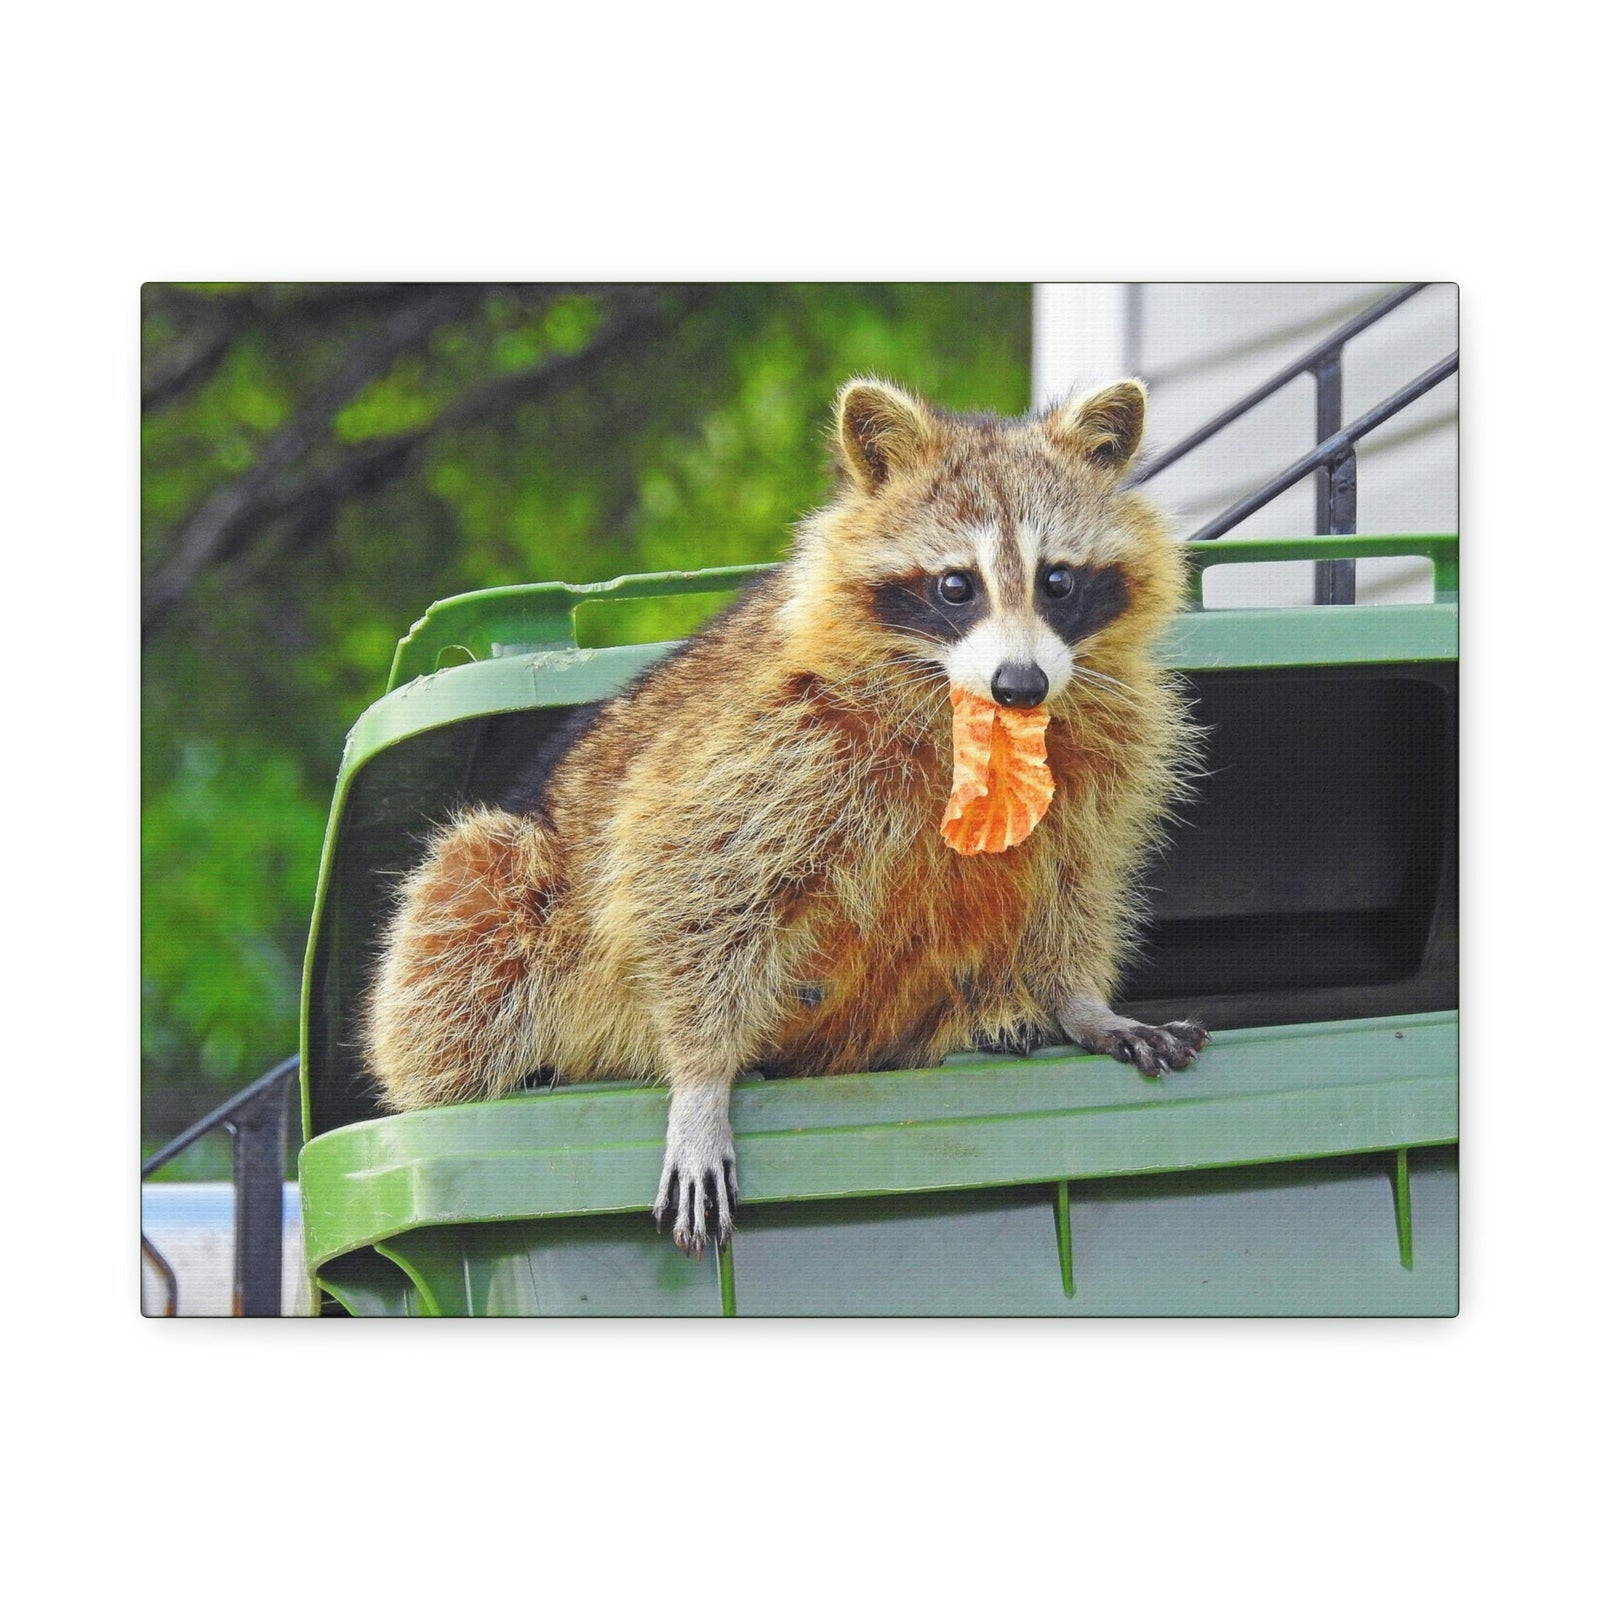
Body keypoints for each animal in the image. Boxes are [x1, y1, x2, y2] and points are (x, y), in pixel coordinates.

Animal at [365, 378, 1208, 1256]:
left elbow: (1071, 879)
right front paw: (700, 1080)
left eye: (1058, 581)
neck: (973, 714)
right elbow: (682, 875)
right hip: (510, 886)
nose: (1022, 684)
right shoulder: (773, 736)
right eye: (956, 585)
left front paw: (1079, 1002)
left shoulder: (1101, 752)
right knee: (471, 905)